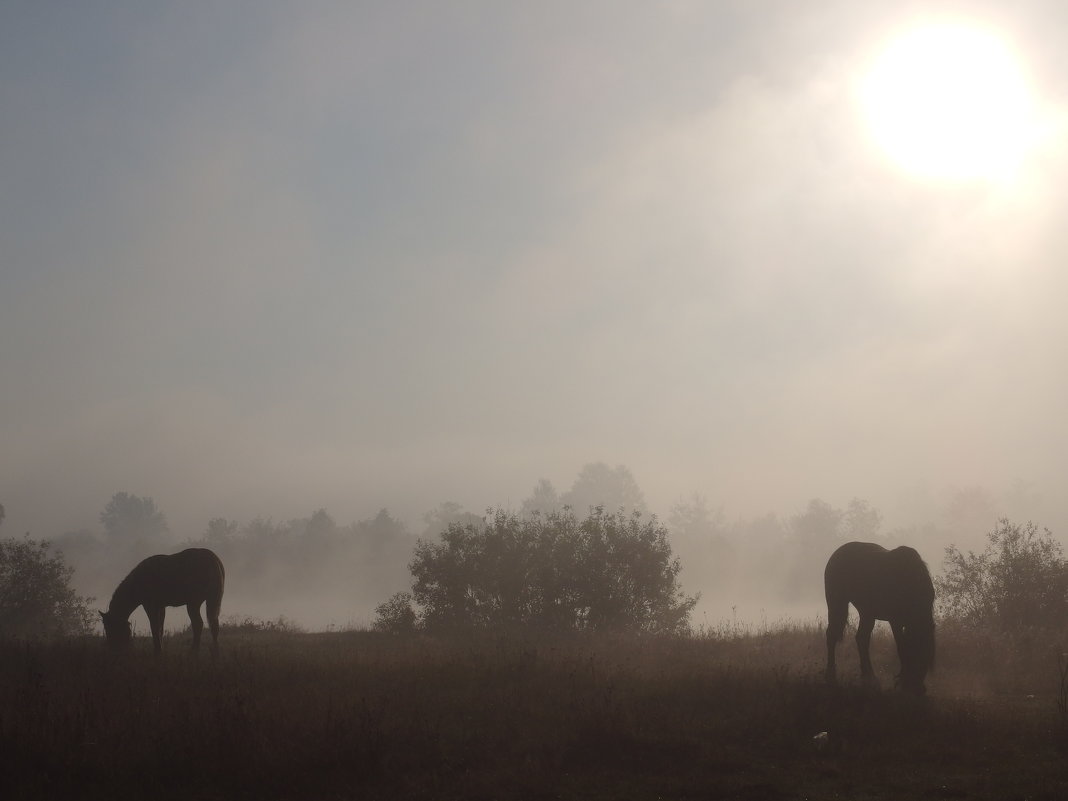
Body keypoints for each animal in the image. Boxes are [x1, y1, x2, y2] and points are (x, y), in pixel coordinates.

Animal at [824, 540, 935, 696]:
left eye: (926, 655)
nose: (918, 689)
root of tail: (837, 553)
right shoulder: (896, 621)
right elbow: (901, 647)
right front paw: (901, 681)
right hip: (837, 603)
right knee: (832, 635)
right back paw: (831, 676)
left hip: (867, 612)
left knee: (862, 639)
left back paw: (869, 678)